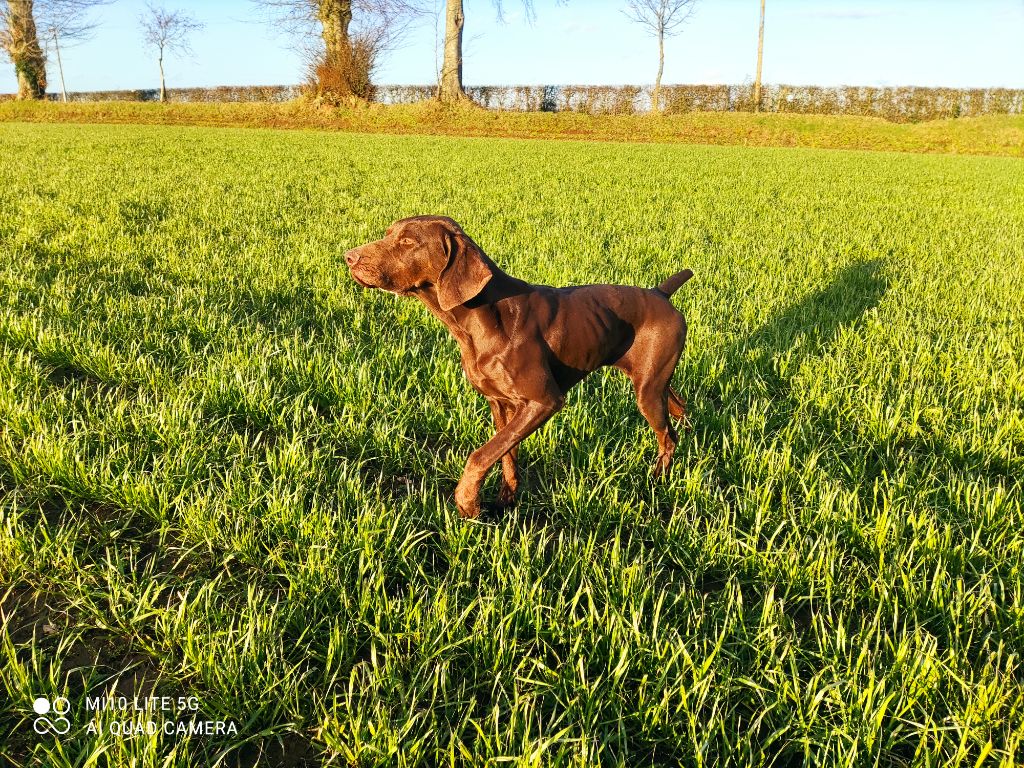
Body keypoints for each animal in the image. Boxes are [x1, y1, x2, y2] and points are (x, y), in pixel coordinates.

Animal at [346, 214, 696, 520]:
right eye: (389, 233)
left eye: (407, 241)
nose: (348, 257)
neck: (480, 319)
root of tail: (660, 293)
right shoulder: (501, 404)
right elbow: (506, 457)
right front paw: (504, 503)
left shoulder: (544, 401)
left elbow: (481, 454)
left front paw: (467, 503)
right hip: (653, 380)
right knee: (679, 410)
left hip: (647, 389)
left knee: (668, 436)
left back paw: (656, 482)